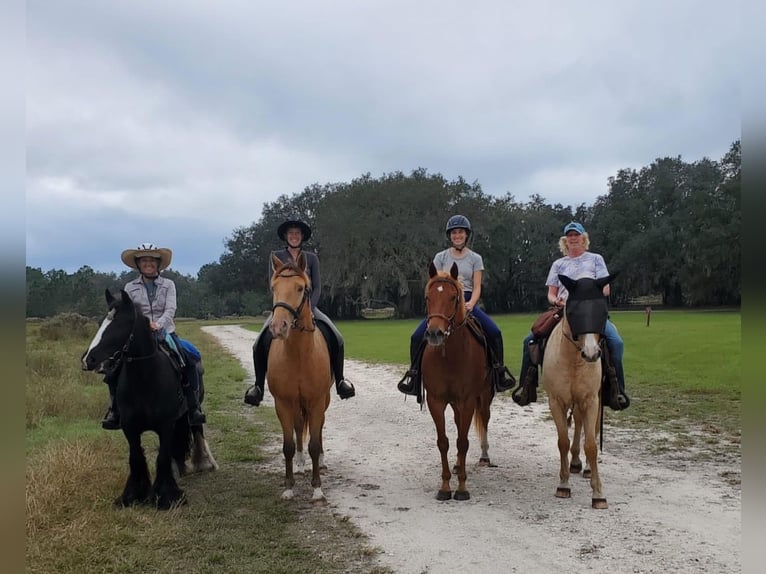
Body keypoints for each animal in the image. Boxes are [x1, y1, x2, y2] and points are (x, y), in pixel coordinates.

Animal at [82, 290, 218, 510]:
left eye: (120, 324)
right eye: (101, 322)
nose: (88, 360)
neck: (144, 380)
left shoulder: (166, 425)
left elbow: (162, 457)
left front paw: (168, 497)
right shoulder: (129, 427)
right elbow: (136, 457)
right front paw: (132, 495)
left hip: (192, 411)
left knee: (196, 427)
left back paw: (203, 463)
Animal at [268, 253, 332, 504]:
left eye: (301, 288)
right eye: (273, 287)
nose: (279, 327)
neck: (298, 355)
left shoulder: (316, 401)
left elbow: (314, 443)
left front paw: (317, 490)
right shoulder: (283, 403)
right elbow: (288, 445)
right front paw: (288, 487)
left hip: (322, 402)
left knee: (319, 428)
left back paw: (319, 462)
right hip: (296, 405)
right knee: (297, 428)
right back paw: (300, 463)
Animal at [420, 264, 492, 502]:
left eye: (453, 297)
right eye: (428, 297)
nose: (435, 333)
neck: (450, 356)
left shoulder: (468, 400)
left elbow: (462, 441)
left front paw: (461, 488)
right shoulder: (436, 401)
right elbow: (443, 442)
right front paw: (444, 487)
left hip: (484, 397)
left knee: (483, 420)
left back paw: (483, 457)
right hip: (454, 404)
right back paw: (458, 465)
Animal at [540, 276, 616, 510]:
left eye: (603, 312)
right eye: (573, 312)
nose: (591, 354)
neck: (574, 360)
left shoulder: (590, 400)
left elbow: (591, 444)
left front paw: (598, 493)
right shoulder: (556, 401)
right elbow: (562, 441)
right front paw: (563, 484)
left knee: (588, 427)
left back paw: (587, 468)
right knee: (578, 423)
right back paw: (574, 463)